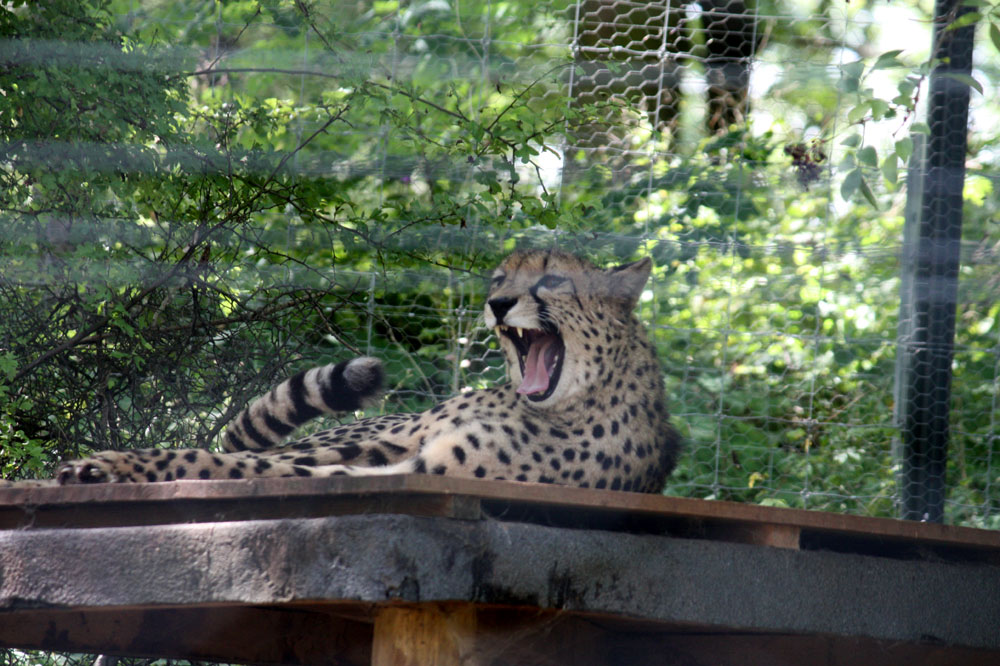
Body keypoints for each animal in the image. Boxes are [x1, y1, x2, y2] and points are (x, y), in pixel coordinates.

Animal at [52, 248, 680, 488]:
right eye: (501, 278)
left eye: (551, 279)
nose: (498, 304)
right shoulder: (399, 452)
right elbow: (241, 462)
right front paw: (111, 464)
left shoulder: (420, 469)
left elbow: (251, 469)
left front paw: (113, 467)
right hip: (372, 433)